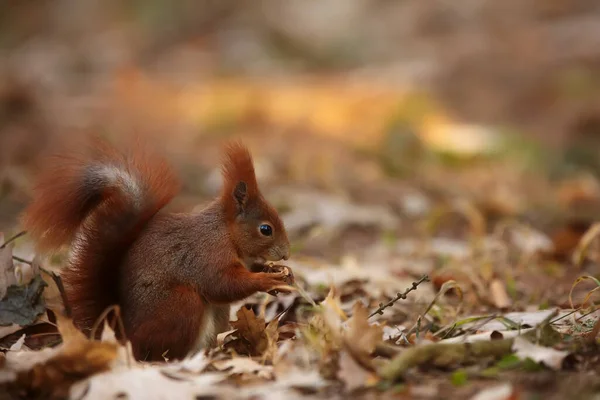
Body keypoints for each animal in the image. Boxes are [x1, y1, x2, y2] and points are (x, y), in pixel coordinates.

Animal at [22, 136, 294, 360]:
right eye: (266, 229)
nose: (286, 254)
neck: (227, 233)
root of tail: (125, 337)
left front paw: (278, 274)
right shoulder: (207, 253)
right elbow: (222, 283)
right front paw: (266, 281)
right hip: (180, 305)